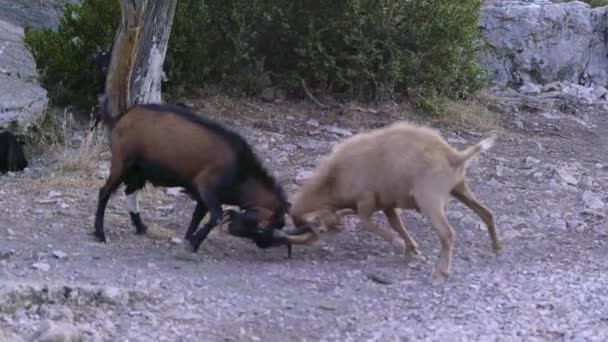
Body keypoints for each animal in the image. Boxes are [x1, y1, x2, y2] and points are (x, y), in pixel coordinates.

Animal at [95, 103, 292, 251]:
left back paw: (140, 227)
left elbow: (197, 216)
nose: (263, 244)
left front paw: (190, 239)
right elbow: (216, 216)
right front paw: (195, 243)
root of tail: (122, 117)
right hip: (123, 164)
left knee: (130, 191)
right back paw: (99, 234)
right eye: (263, 228)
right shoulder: (206, 186)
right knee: (104, 192)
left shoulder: (203, 196)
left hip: (139, 171)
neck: (241, 171)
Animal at [282, 121, 502, 284]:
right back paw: (496, 248)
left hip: (430, 199)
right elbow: (396, 224)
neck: (334, 178)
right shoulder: (387, 204)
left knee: (447, 233)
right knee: (486, 213)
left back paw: (440, 273)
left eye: (320, 231)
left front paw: (399, 245)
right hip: (459, 189)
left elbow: (368, 223)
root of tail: (454, 156)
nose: (339, 228)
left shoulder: (366, 200)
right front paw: (411, 248)